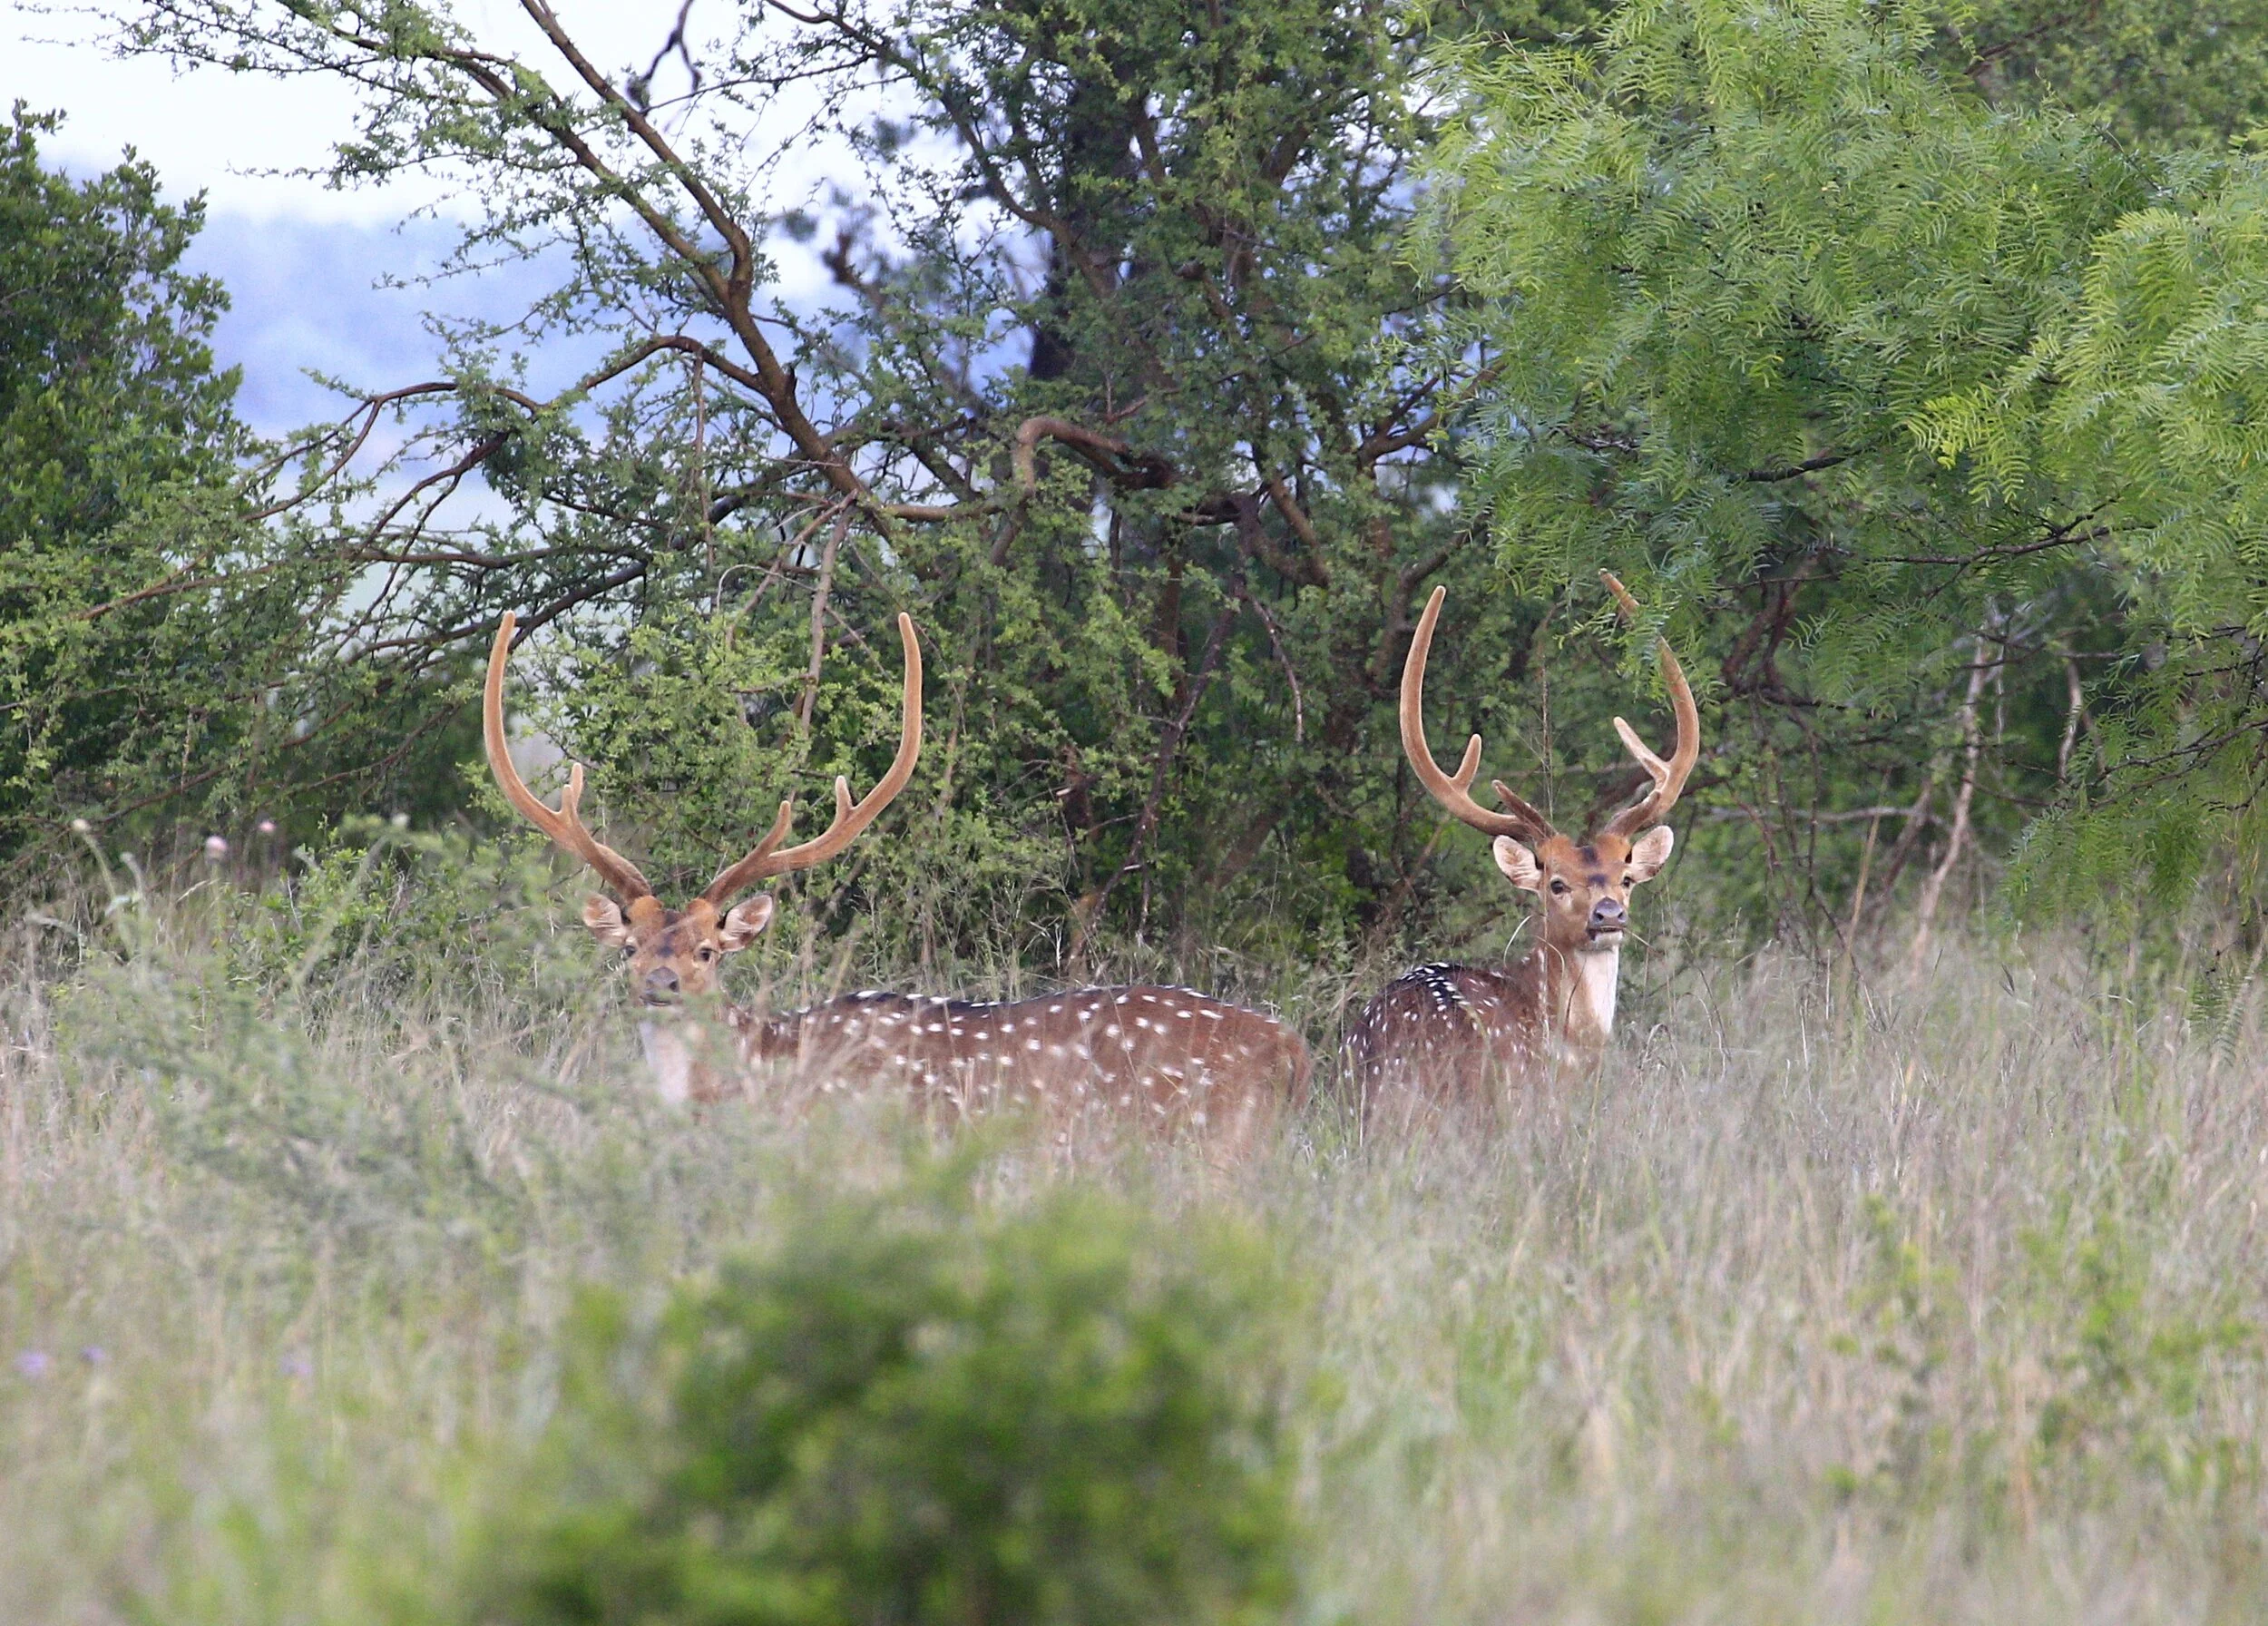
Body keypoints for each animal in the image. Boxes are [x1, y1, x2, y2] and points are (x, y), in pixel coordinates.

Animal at [483, 610, 1309, 1154]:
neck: (753, 1078)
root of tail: (1294, 1052)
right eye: (629, 945)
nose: (660, 983)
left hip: (1212, 1152)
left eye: (709, 950)